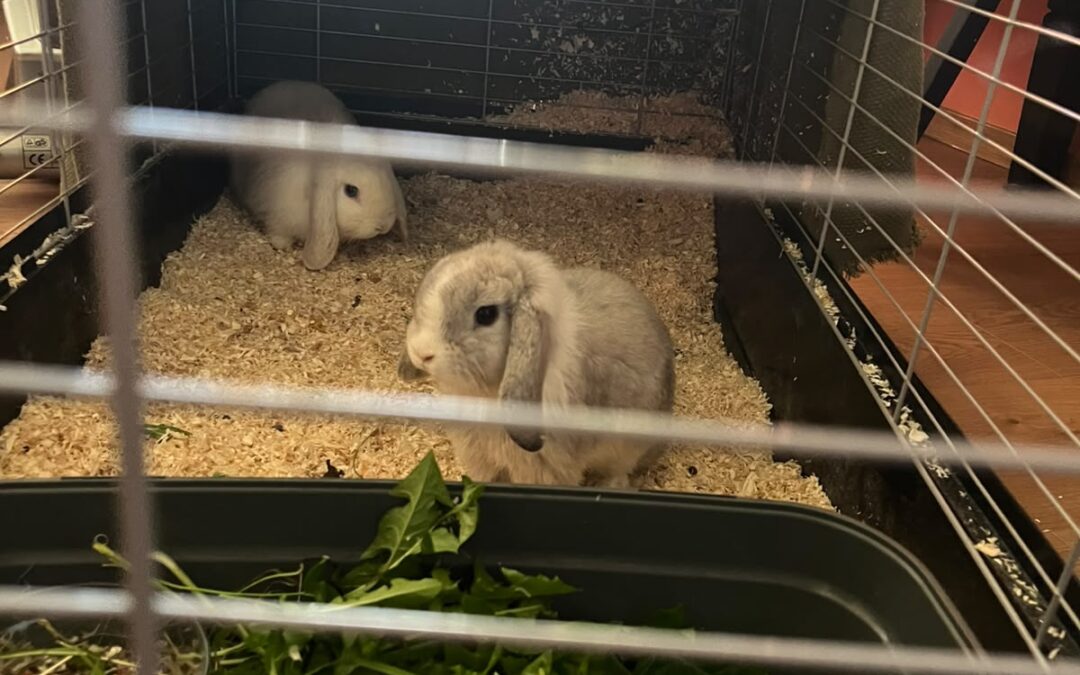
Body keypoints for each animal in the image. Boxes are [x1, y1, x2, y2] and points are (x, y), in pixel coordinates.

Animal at [397, 240, 675, 488]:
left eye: (486, 314)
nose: (421, 352)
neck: (484, 393)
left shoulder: (541, 467)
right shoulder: (478, 455)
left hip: (626, 448)